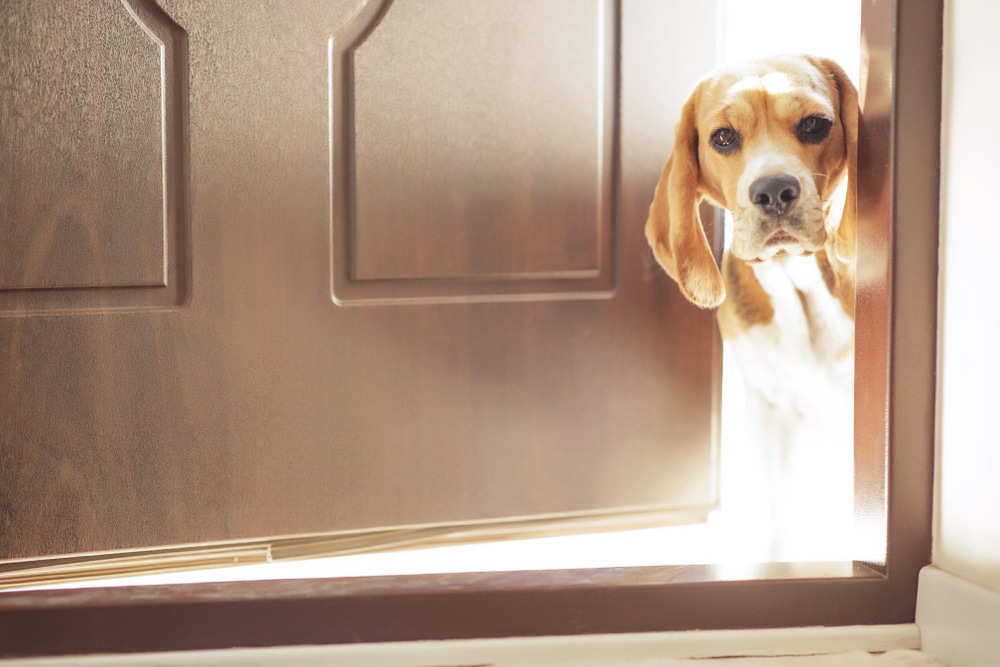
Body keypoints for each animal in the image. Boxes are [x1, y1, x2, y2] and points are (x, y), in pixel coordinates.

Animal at [648, 56, 860, 560]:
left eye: (814, 125)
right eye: (723, 137)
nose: (774, 190)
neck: (797, 281)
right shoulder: (767, 406)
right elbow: (774, 519)